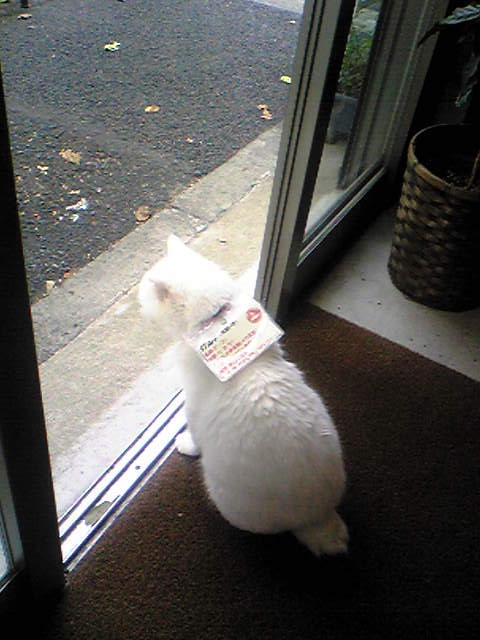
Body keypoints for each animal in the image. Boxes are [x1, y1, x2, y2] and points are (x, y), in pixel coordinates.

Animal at [138, 235, 348, 556]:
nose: (137, 306)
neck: (216, 320)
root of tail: (319, 516)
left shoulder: (192, 410)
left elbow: (193, 437)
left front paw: (184, 445)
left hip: (221, 492)